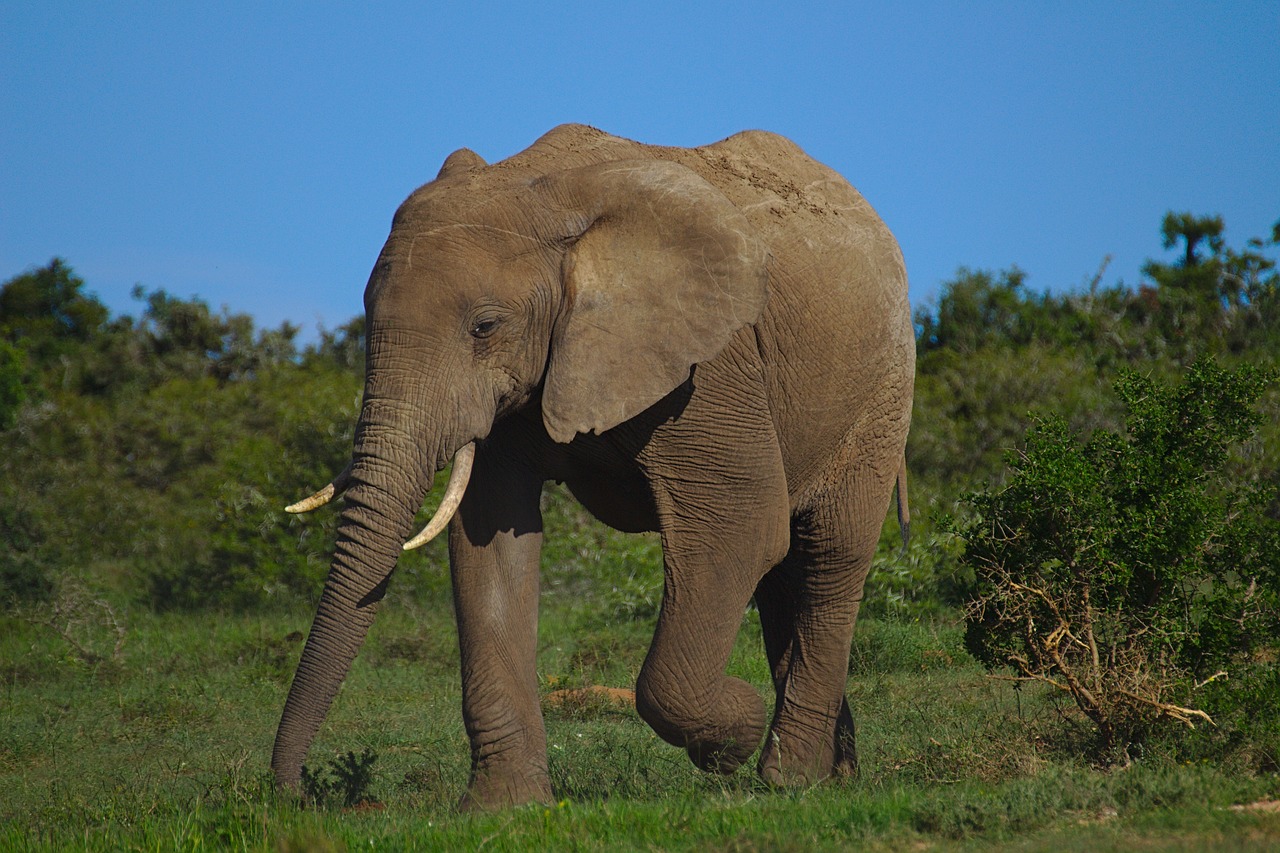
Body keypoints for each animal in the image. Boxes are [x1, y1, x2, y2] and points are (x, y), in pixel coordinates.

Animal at [272, 122, 911, 809]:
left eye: (484, 327)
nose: (297, 792)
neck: (540, 196)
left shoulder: (709, 362)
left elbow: (738, 527)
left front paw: (731, 740)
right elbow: (489, 543)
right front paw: (504, 808)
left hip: (880, 396)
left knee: (830, 556)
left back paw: (790, 776)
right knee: (783, 576)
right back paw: (834, 769)